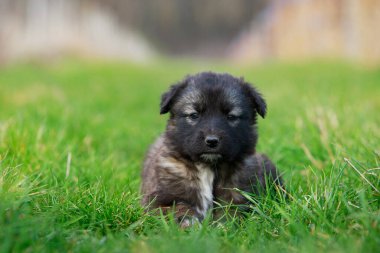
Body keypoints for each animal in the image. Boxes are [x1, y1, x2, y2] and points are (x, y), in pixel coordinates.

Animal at [142, 71, 282, 227]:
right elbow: (179, 207)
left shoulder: (242, 196)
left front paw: (223, 226)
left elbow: (231, 211)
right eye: (194, 115)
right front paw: (189, 222)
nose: (212, 141)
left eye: (231, 116)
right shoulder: (158, 200)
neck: (208, 167)